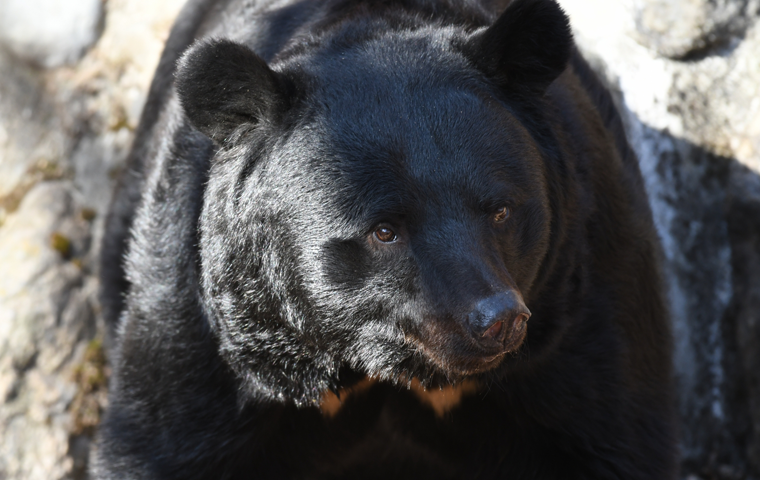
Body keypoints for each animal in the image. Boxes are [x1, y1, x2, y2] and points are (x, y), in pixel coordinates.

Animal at [92, 0, 678, 478]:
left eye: (501, 211)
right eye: (385, 230)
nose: (497, 320)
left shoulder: (580, 292)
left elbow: (610, 429)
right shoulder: (214, 316)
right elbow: (163, 436)